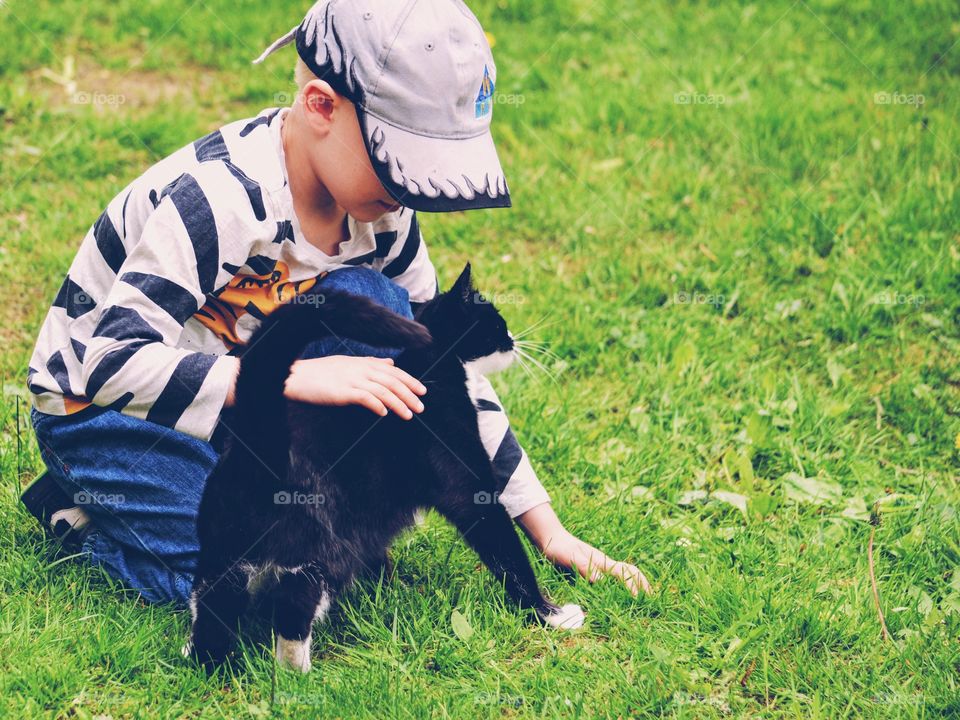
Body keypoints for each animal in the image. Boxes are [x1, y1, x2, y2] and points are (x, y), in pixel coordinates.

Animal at [184, 266, 580, 676]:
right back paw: (298, 673)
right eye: (496, 322)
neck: (433, 367)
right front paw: (550, 614)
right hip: (324, 546)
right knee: (295, 601)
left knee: (214, 603)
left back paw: (209, 664)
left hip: (224, 546)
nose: (514, 340)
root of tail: (259, 436)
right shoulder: (470, 487)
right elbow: (506, 552)